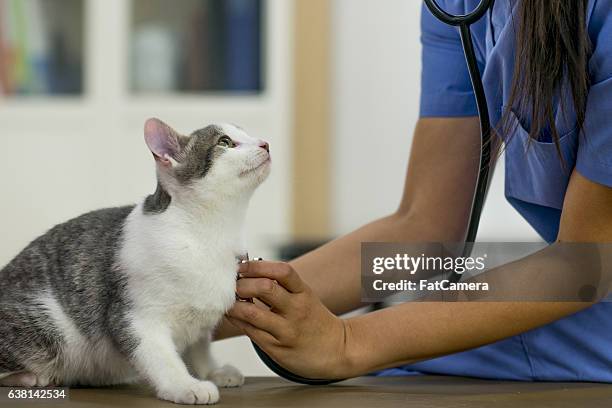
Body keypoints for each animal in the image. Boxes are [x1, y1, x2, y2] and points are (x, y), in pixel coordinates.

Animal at [0, 118, 270, 404]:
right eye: (225, 142)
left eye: (247, 134)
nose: (265, 143)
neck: (209, 235)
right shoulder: (136, 317)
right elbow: (161, 357)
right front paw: (185, 384)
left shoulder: (200, 323)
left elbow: (199, 348)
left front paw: (212, 371)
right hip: (48, 328)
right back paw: (30, 377)